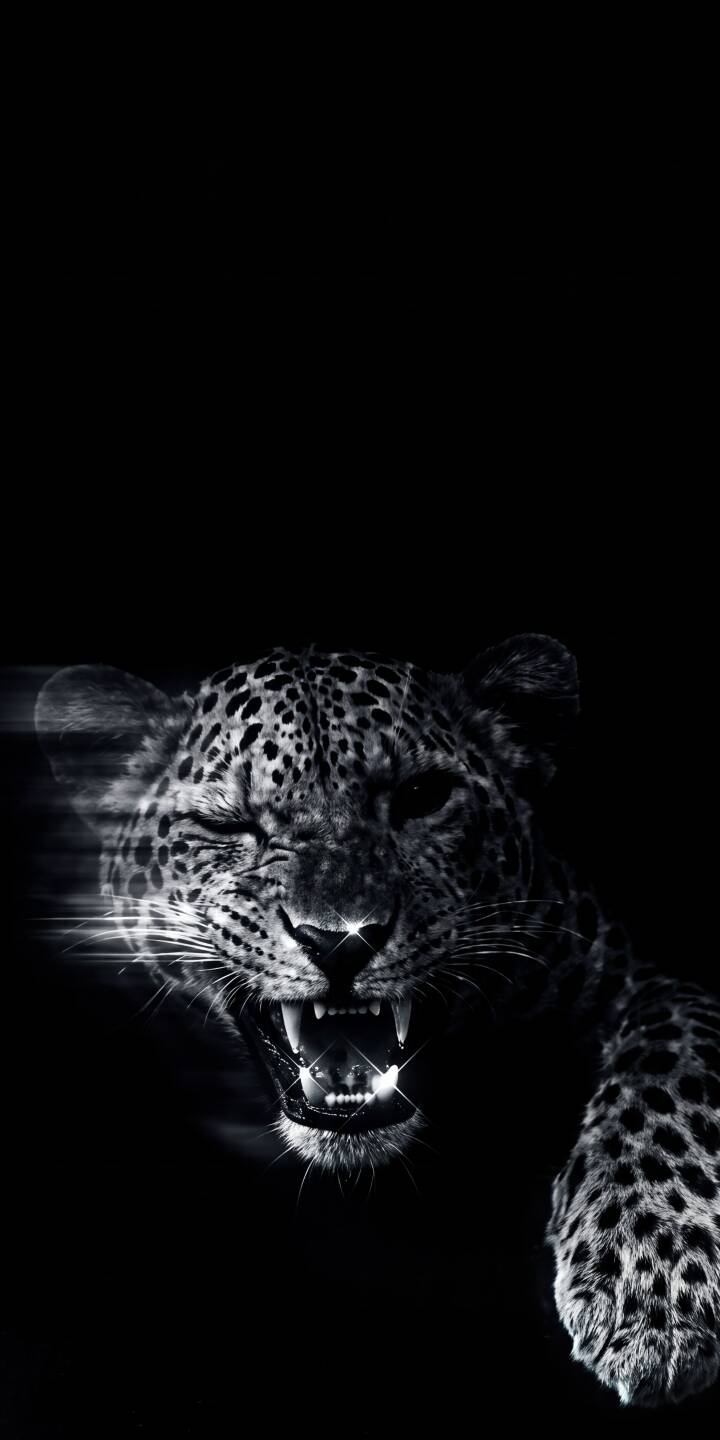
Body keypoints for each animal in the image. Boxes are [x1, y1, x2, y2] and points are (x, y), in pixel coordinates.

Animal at [35, 635, 720, 1407]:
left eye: (422, 798)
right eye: (225, 825)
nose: (341, 940)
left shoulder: (626, 972)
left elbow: (668, 1061)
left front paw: (648, 1279)